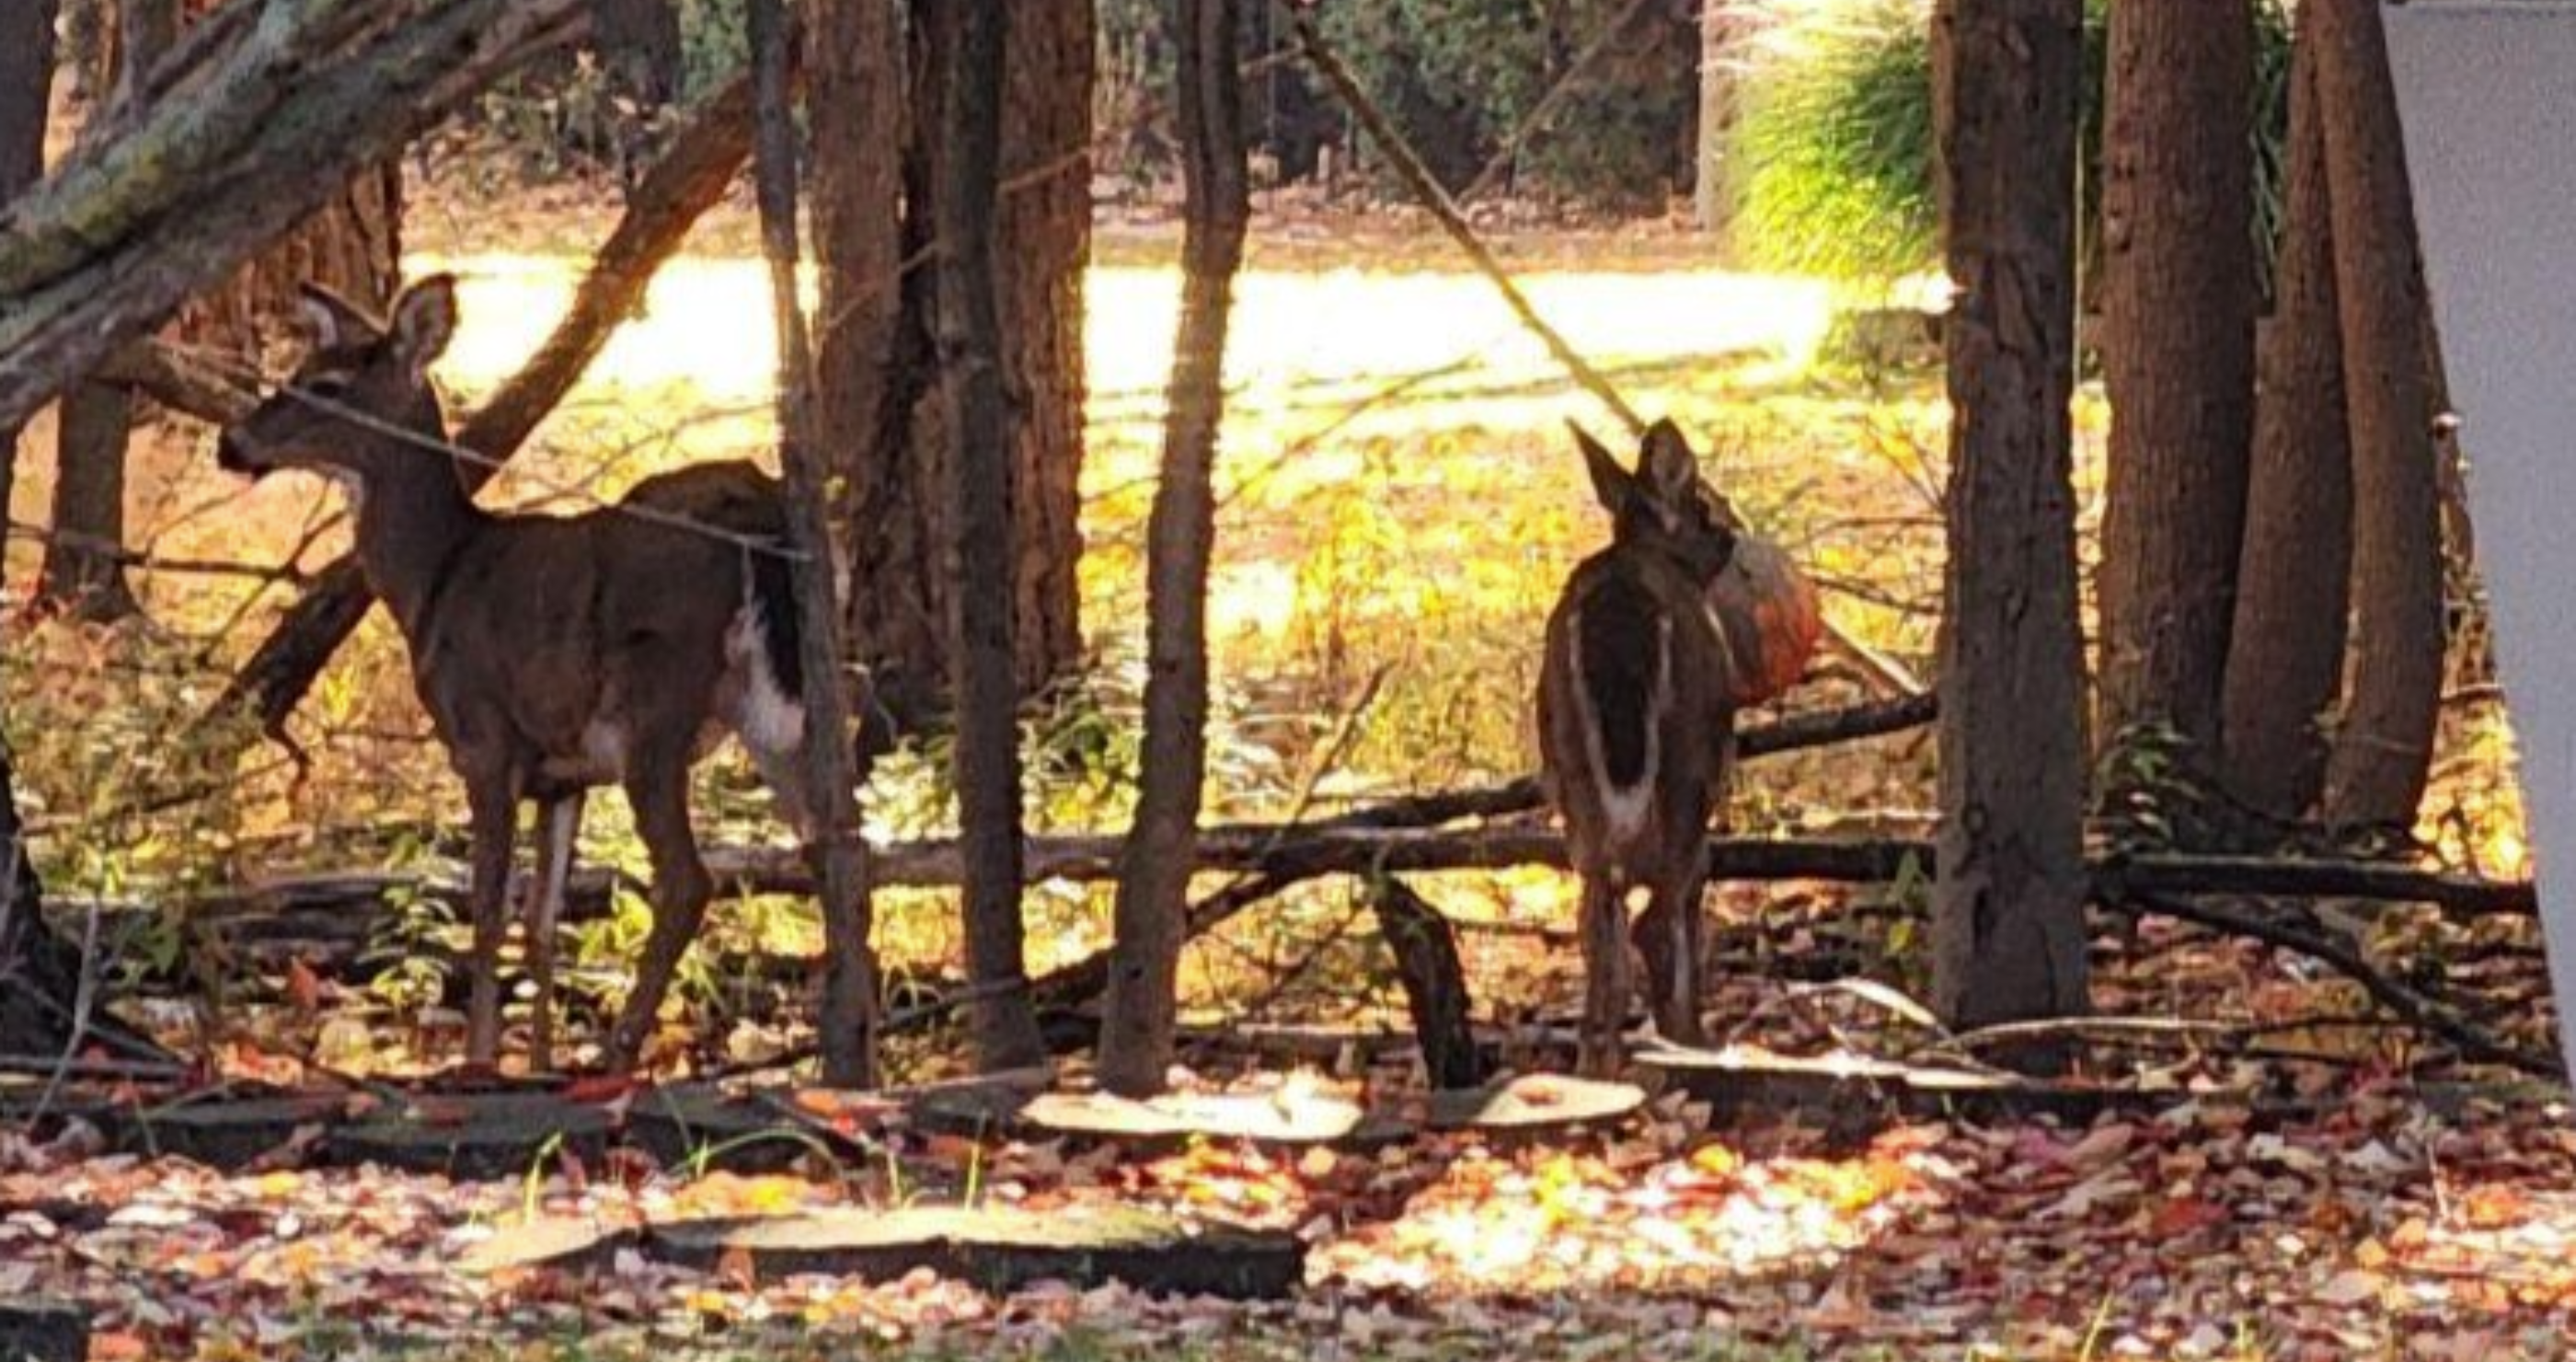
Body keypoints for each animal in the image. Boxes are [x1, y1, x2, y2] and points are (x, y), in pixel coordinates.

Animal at [216, 274, 825, 1075]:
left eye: (326, 385)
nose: (231, 444)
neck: (436, 578)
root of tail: (756, 513)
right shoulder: (562, 775)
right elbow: (541, 924)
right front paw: (533, 1063)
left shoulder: (485, 739)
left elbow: (486, 914)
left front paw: (479, 1064)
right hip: (767, 710)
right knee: (832, 846)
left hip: (655, 706)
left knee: (690, 880)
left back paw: (614, 1055)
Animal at [1536, 419, 1741, 1077]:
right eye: (1706, 506)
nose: (1732, 533)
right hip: (1688, 765)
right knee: (1655, 914)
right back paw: (1685, 1041)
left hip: (1567, 765)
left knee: (1596, 917)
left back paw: (1594, 1060)